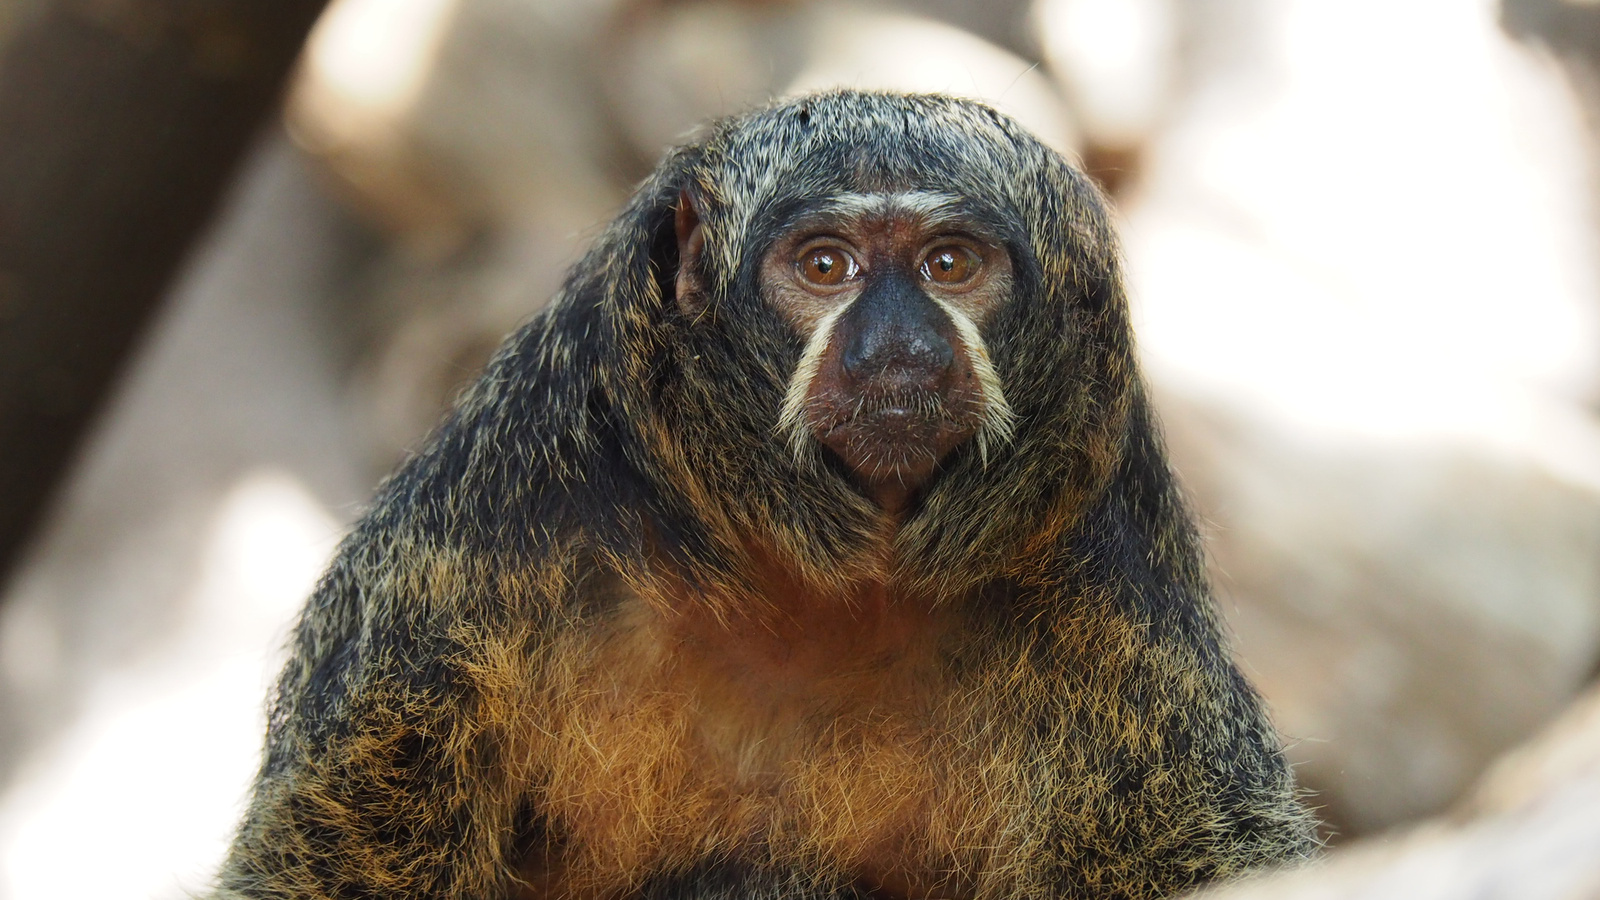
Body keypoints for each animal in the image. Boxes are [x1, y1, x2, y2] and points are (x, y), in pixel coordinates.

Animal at [212, 89, 1312, 896]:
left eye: (950, 265)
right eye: (824, 266)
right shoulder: (483, 550)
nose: (899, 346)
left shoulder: (1105, 593)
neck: (820, 586)